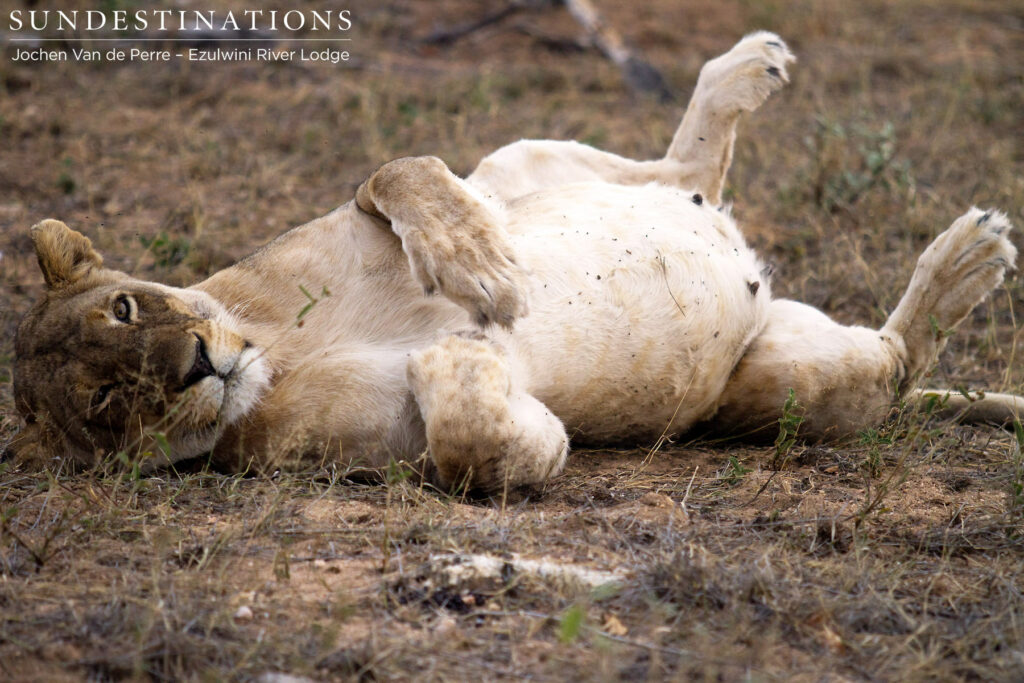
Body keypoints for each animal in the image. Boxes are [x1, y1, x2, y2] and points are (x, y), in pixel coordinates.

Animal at [8, 33, 1022, 491]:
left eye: (125, 308)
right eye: (107, 403)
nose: (196, 365)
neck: (275, 348)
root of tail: (752, 275)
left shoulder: (367, 206)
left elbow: (398, 169)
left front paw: (480, 272)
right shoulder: (392, 451)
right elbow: (473, 444)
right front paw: (493, 389)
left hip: (523, 160)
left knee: (684, 176)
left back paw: (748, 69)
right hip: (781, 384)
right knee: (894, 364)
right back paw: (971, 256)